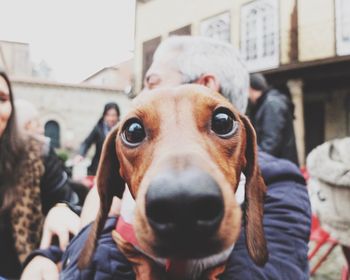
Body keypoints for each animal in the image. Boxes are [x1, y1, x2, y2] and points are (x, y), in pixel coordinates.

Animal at [78, 84, 268, 278]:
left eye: (223, 121)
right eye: (133, 130)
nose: (182, 202)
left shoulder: (219, 261)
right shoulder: (126, 242)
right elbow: (146, 267)